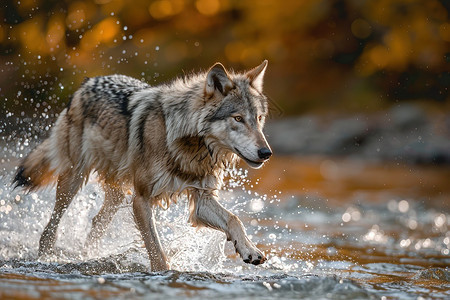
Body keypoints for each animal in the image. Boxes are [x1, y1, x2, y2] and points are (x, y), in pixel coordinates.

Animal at [14, 59, 272, 270]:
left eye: (259, 119)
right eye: (238, 118)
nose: (266, 152)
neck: (188, 145)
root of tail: (86, 83)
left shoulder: (202, 199)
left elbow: (234, 219)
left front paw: (250, 250)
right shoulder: (141, 199)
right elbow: (157, 251)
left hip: (116, 193)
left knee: (96, 223)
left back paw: (88, 256)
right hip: (74, 180)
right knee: (50, 227)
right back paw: (46, 257)